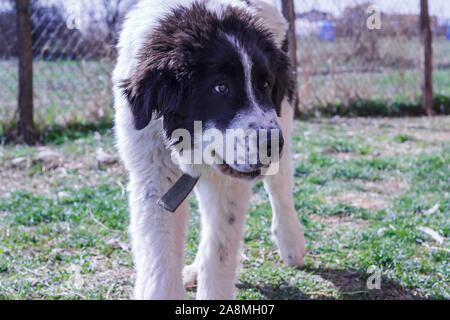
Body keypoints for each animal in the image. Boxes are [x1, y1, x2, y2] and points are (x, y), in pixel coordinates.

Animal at [113, 0, 306, 300]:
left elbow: (220, 250)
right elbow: (159, 254)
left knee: (280, 188)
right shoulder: (153, 175)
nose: (274, 143)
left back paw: (291, 243)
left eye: (265, 84)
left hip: (282, 114)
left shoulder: (230, 179)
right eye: (221, 88)